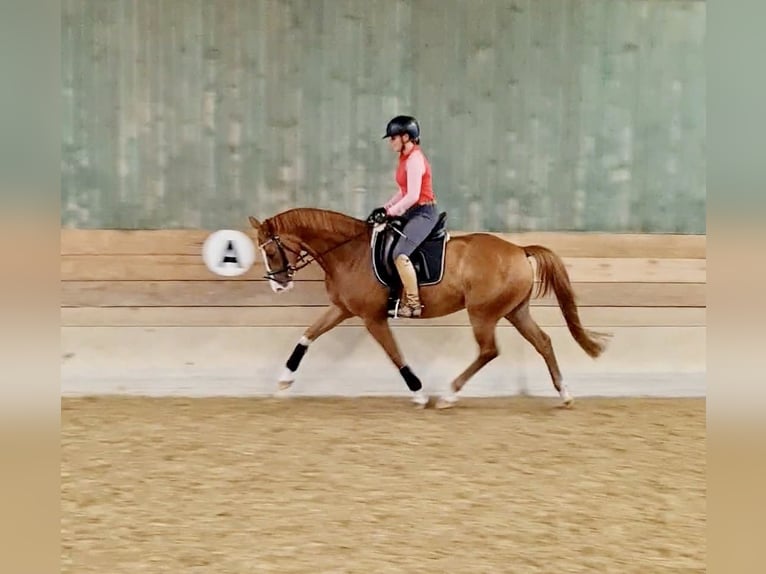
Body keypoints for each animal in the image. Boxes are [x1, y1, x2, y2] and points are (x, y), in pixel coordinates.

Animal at [247, 207, 610, 409]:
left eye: (271, 251)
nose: (278, 284)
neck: (349, 252)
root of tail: (520, 250)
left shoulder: (372, 318)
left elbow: (395, 355)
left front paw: (419, 394)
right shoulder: (342, 309)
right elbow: (307, 336)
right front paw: (283, 381)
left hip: (482, 313)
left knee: (489, 350)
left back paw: (449, 394)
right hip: (515, 310)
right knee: (542, 342)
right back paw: (564, 394)